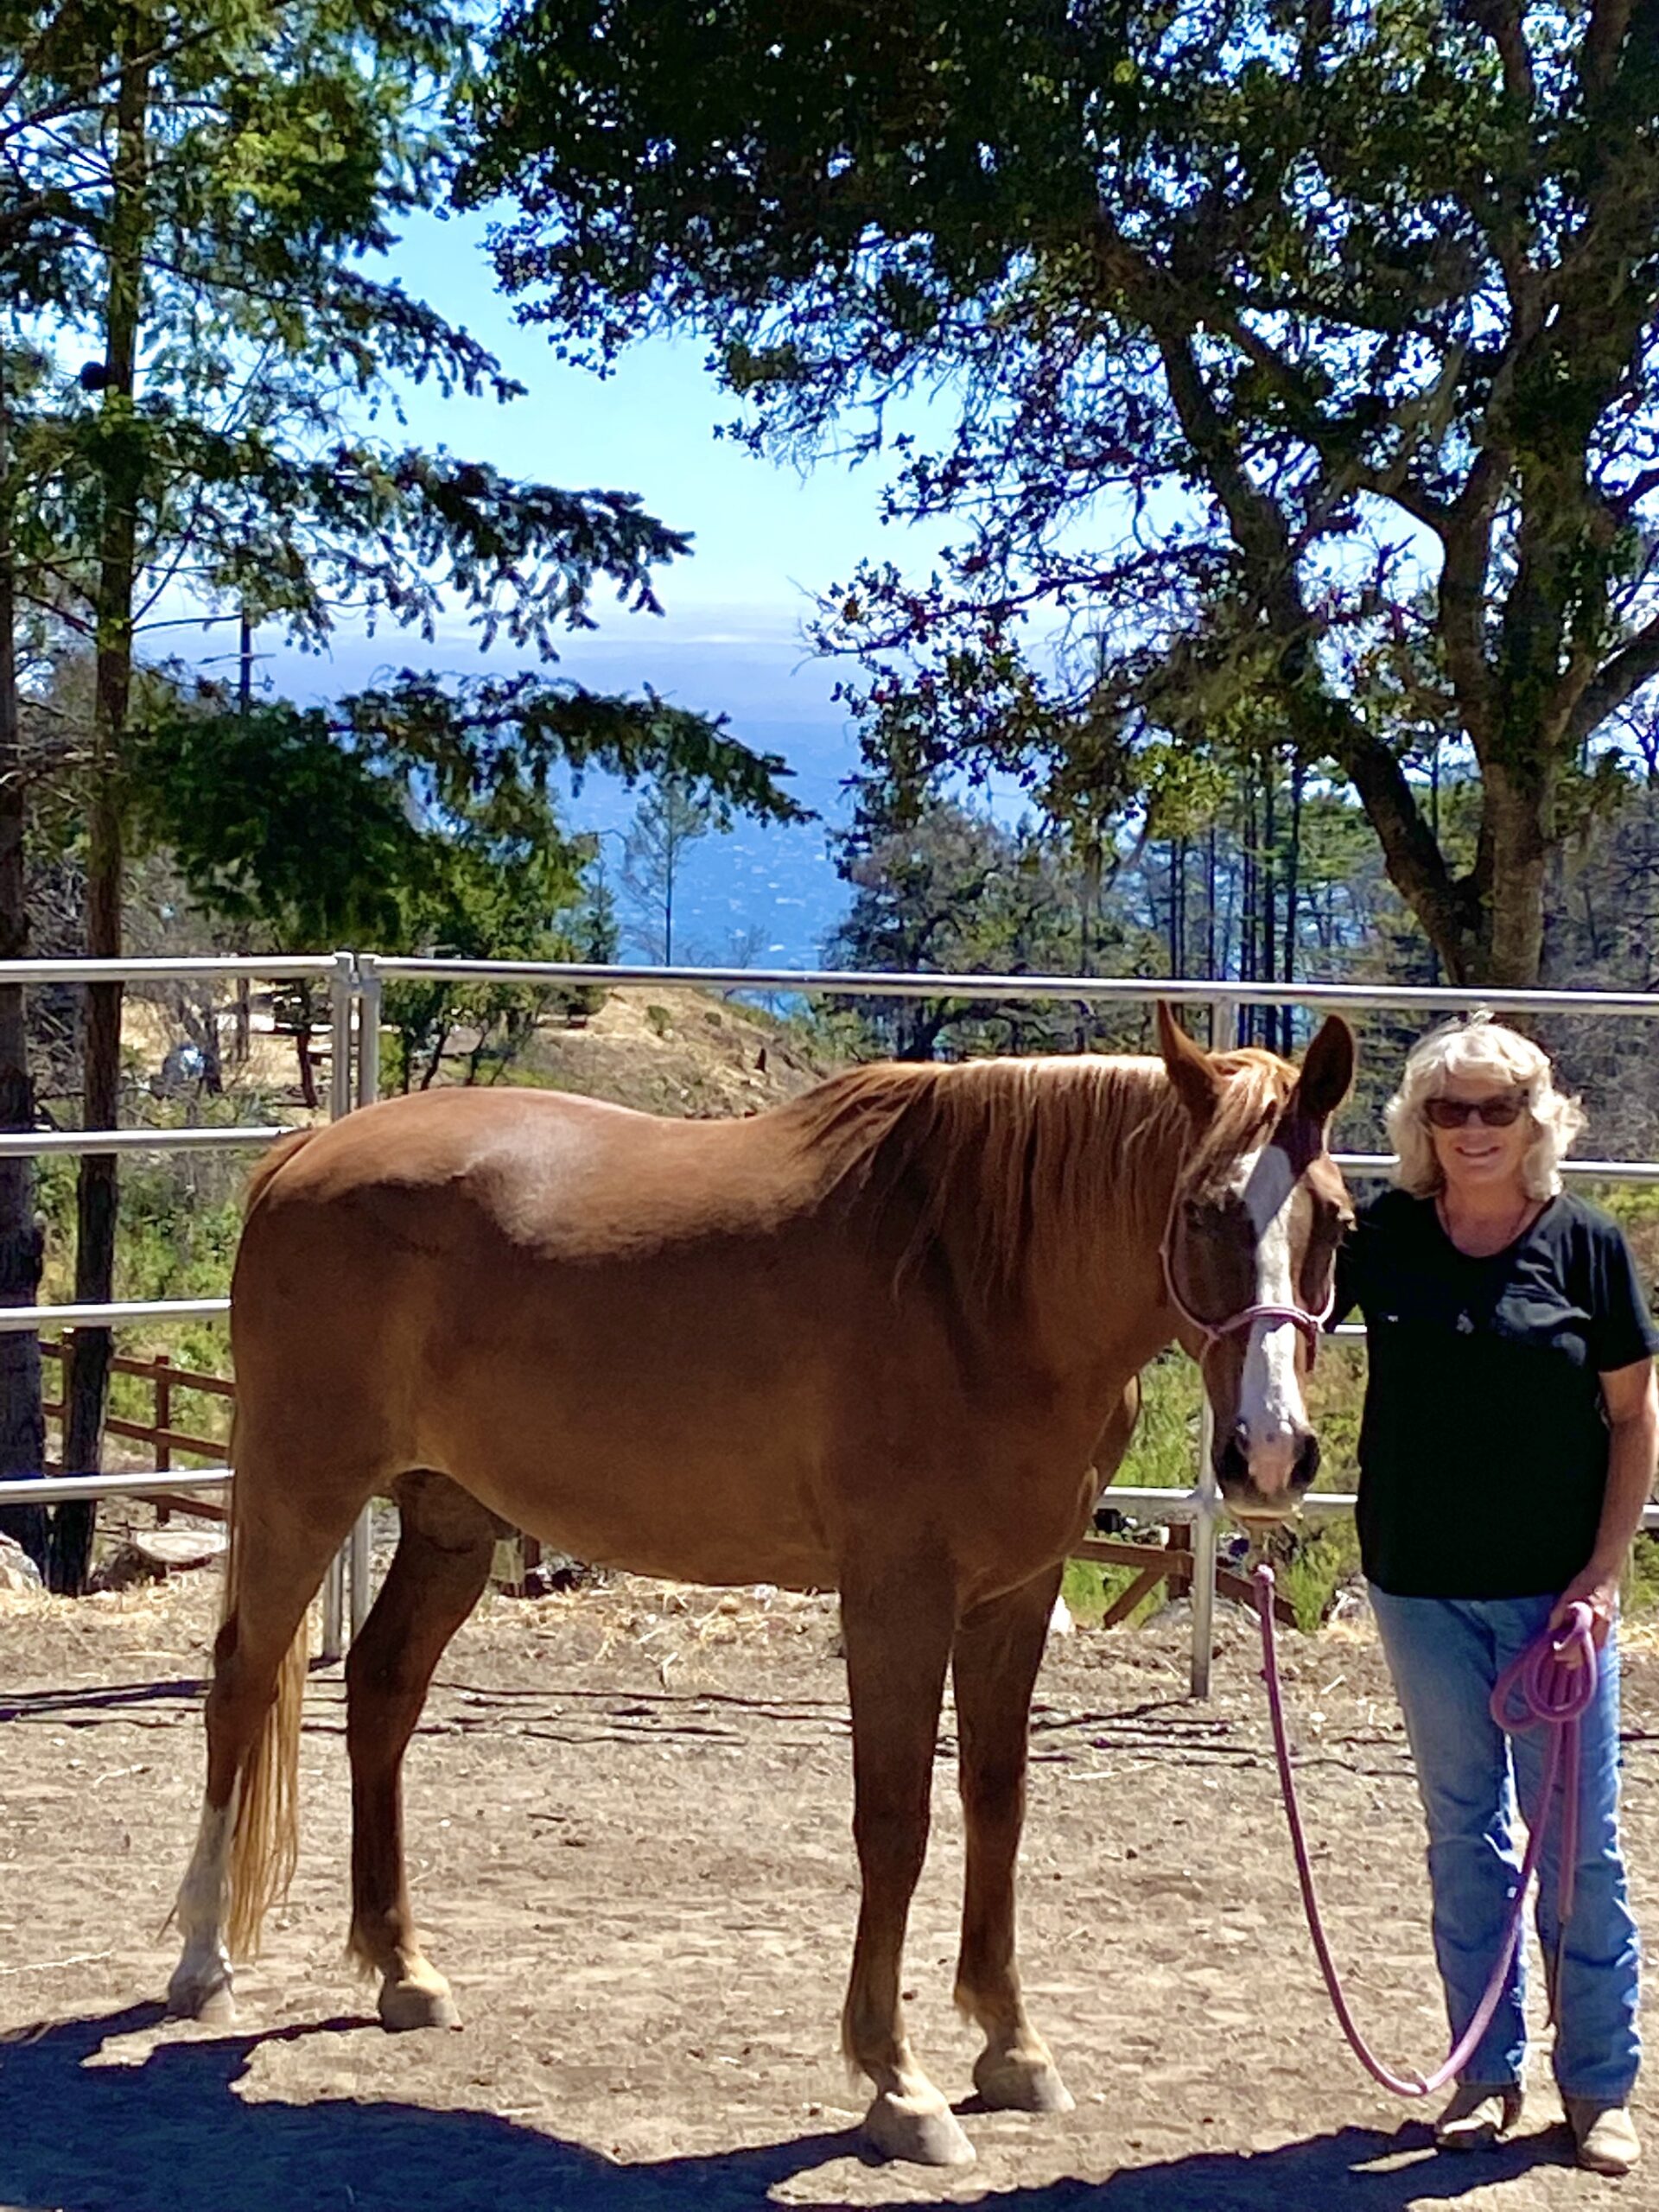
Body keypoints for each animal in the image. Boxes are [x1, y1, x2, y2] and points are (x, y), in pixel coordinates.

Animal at [165, 1002, 1355, 2167]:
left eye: (1336, 1220)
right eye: (1202, 1208)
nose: (1270, 1455)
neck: (972, 1284)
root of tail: (310, 1152)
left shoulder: (1015, 1593)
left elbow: (997, 1803)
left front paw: (1012, 2048)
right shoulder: (896, 1597)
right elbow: (896, 1821)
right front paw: (898, 2084)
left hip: (448, 1518)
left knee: (381, 1692)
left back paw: (402, 1971)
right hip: (303, 1490)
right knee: (240, 1686)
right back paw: (202, 1965)